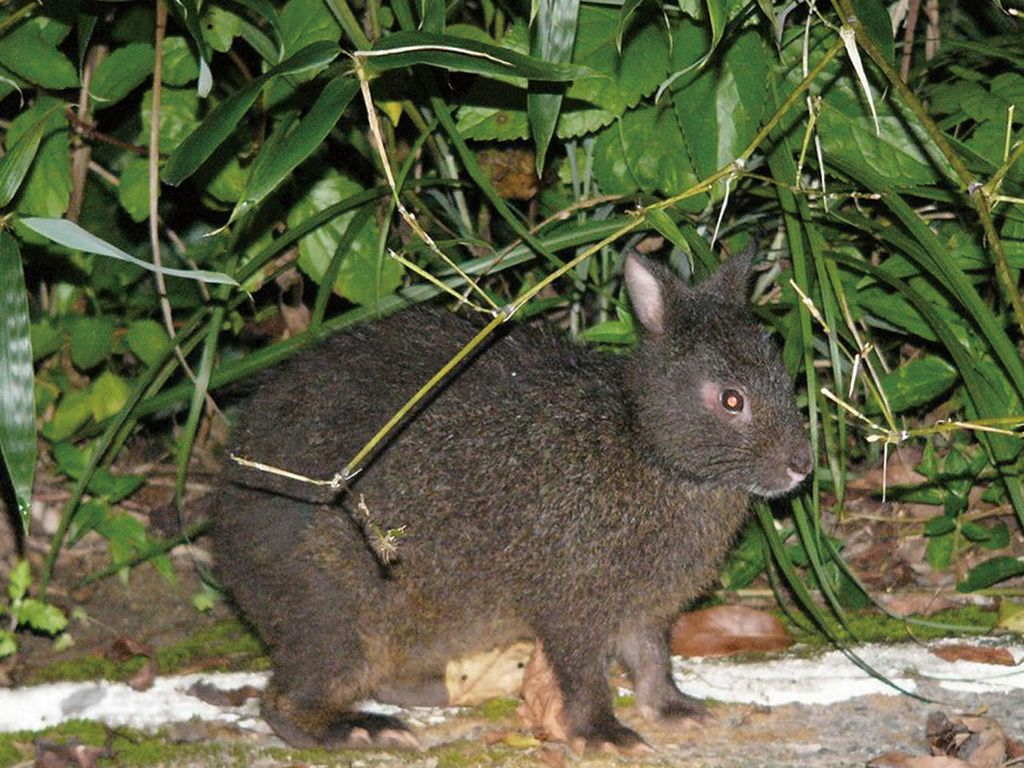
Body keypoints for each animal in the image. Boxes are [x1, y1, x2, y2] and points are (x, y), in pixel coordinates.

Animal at [210, 247, 812, 752]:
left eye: (783, 378)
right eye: (731, 400)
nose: (802, 465)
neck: (645, 446)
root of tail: (225, 542)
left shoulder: (645, 610)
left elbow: (653, 663)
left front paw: (678, 711)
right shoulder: (573, 605)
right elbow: (585, 676)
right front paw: (605, 736)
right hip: (336, 614)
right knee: (285, 704)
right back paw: (364, 730)